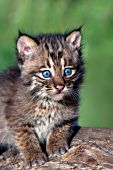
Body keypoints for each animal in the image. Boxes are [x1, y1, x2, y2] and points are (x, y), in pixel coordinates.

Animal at [0, 27, 84, 168]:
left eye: (68, 72)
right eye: (46, 74)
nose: (60, 87)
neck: (48, 102)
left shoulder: (71, 113)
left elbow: (62, 126)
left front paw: (56, 146)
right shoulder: (14, 117)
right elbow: (26, 137)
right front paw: (34, 156)